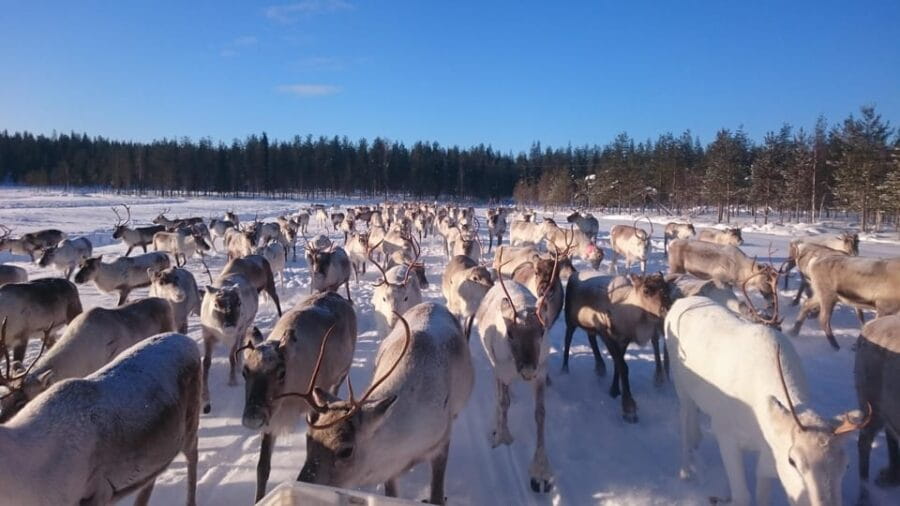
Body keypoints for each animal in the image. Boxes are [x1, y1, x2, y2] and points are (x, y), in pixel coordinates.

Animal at [240, 292, 357, 501]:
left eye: (281, 372)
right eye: (244, 371)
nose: (252, 418)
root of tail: (337, 295)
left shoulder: (310, 402)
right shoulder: (271, 417)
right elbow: (262, 468)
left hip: (342, 373)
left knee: (334, 391)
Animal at [298, 303, 474, 505]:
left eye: (346, 451)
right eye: (308, 437)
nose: (303, 484)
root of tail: (432, 304)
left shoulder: (442, 441)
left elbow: (437, 496)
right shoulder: (390, 470)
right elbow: (391, 494)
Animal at [475, 265, 555, 493]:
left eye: (542, 331)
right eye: (510, 333)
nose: (527, 370)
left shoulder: (541, 372)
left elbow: (540, 414)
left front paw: (540, 472)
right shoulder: (502, 371)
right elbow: (503, 403)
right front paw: (502, 437)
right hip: (494, 364)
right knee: (499, 395)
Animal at [563, 272, 671, 421]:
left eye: (667, 288)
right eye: (646, 290)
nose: (667, 309)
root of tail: (574, 273)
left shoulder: (623, 340)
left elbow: (617, 365)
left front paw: (614, 390)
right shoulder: (607, 334)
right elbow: (623, 367)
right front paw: (628, 407)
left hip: (591, 326)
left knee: (591, 338)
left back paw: (600, 366)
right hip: (570, 320)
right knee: (567, 340)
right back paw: (564, 369)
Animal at [666, 295, 868, 506]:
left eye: (846, 465)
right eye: (792, 461)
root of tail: (679, 301)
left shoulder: (769, 455)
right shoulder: (725, 432)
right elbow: (742, 496)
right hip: (681, 386)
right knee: (685, 417)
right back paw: (686, 470)